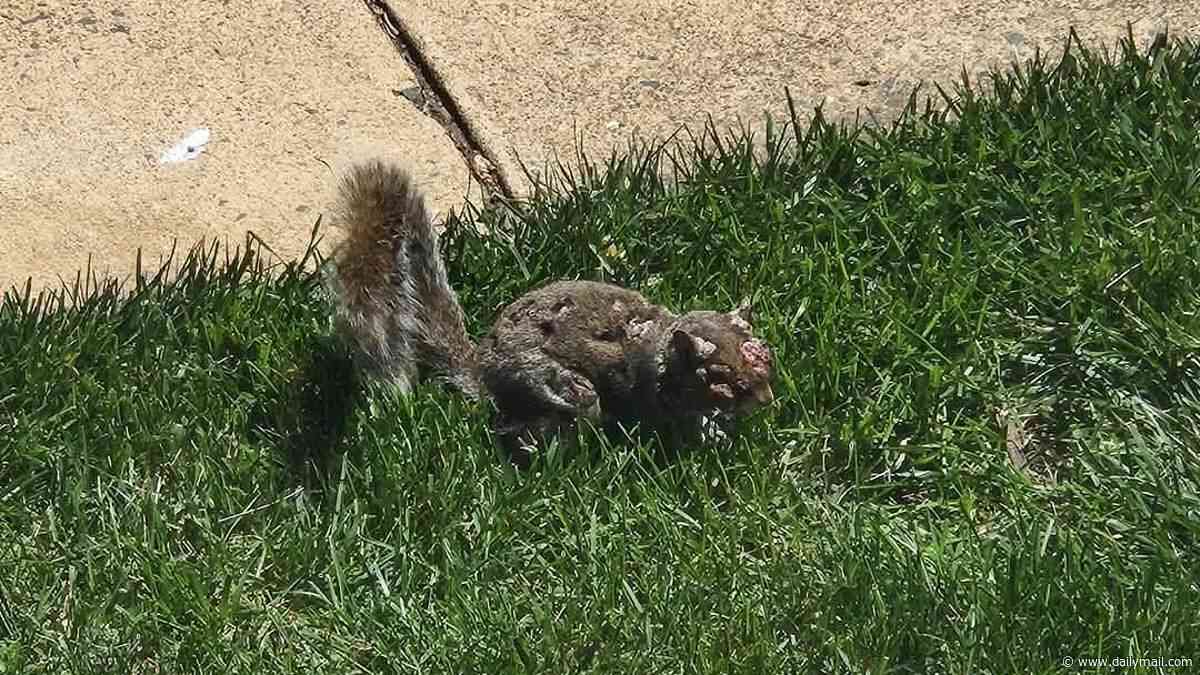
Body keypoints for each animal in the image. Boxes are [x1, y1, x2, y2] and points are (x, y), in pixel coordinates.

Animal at [325, 159, 775, 457]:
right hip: (554, 384)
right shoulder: (654, 392)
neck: (663, 346)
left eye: (766, 355)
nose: (767, 400)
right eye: (719, 378)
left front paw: (720, 430)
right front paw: (706, 437)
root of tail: (483, 372)